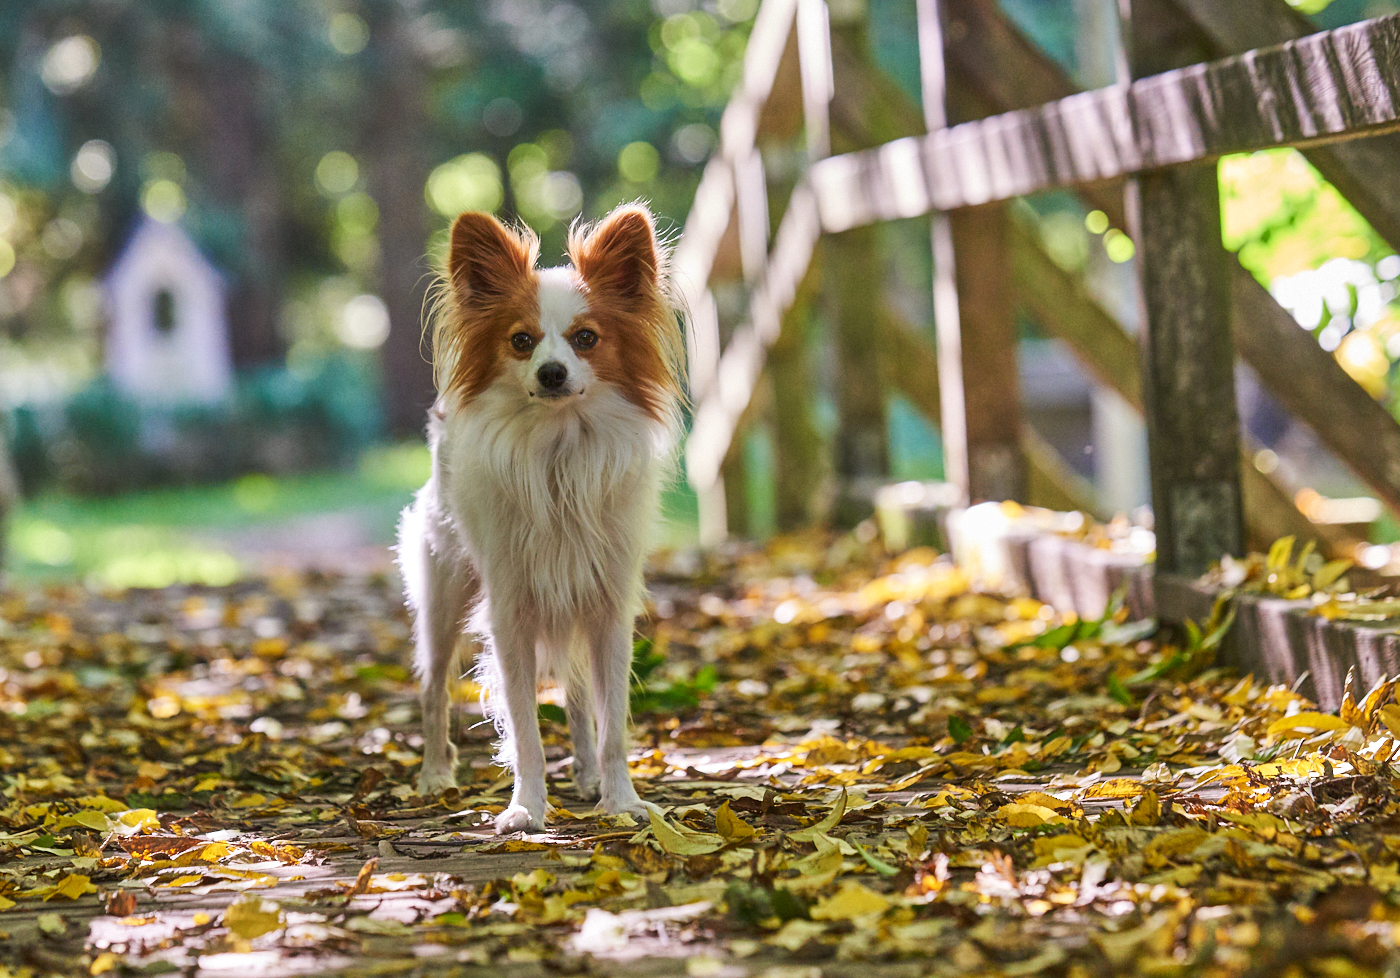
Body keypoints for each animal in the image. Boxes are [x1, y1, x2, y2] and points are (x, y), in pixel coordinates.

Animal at [394, 202, 683, 828]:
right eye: (521, 341)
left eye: (586, 339)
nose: (552, 372)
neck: (559, 452)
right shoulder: (510, 614)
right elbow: (524, 727)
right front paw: (526, 807)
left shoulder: (608, 608)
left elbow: (611, 722)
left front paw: (621, 798)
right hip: (443, 598)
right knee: (432, 689)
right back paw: (434, 774)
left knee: (576, 696)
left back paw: (587, 774)